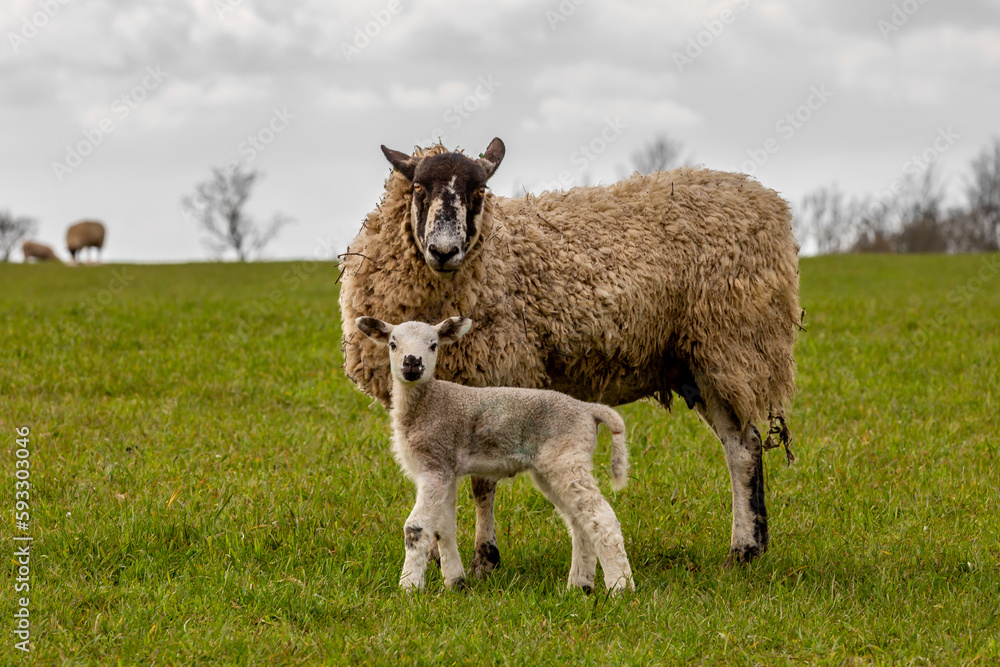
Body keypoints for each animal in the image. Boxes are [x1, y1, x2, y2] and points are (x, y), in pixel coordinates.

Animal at [356, 315, 635, 594]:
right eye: (392, 344)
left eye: (433, 345)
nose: (412, 363)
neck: (428, 402)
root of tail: (589, 410)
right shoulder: (446, 468)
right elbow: (443, 529)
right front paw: (455, 583)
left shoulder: (435, 463)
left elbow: (416, 529)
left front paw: (408, 588)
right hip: (553, 465)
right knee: (580, 521)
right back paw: (579, 585)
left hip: (567, 456)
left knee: (602, 518)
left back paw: (620, 587)